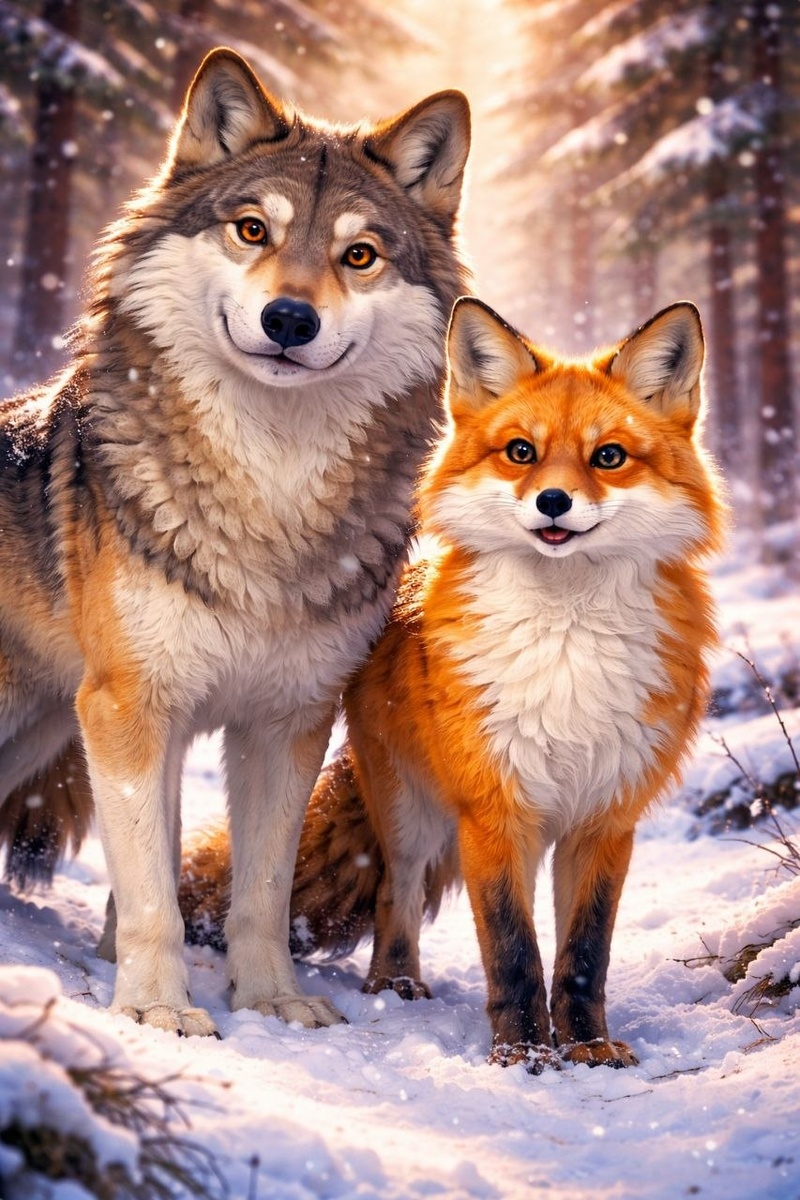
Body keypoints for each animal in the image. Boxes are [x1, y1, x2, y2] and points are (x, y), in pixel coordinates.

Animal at [0, 48, 470, 1036]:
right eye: (252, 229)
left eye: (358, 255)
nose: (290, 320)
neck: (270, 489)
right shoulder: (133, 712)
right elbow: (152, 893)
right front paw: (155, 1008)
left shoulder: (287, 722)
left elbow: (259, 891)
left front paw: (272, 1000)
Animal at [180, 297, 727, 1070]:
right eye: (521, 452)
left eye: (609, 457)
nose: (553, 502)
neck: (566, 645)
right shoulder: (491, 808)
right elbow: (512, 949)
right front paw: (523, 1055)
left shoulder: (604, 819)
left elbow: (583, 954)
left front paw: (585, 1047)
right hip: (412, 814)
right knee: (396, 893)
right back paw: (395, 984)